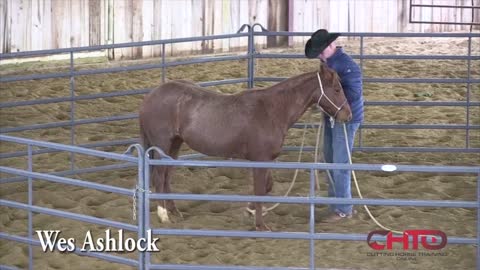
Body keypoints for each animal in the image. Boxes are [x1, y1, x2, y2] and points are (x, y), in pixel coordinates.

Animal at [139, 64, 352, 231]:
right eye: (336, 89)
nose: (347, 115)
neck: (272, 110)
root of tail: (151, 96)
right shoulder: (260, 160)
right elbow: (260, 190)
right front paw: (261, 225)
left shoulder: (267, 160)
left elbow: (267, 187)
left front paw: (250, 210)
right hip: (162, 145)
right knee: (159, 177)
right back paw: (163, 215)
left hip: (174, 145)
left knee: (166, 177)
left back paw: (174, 212)